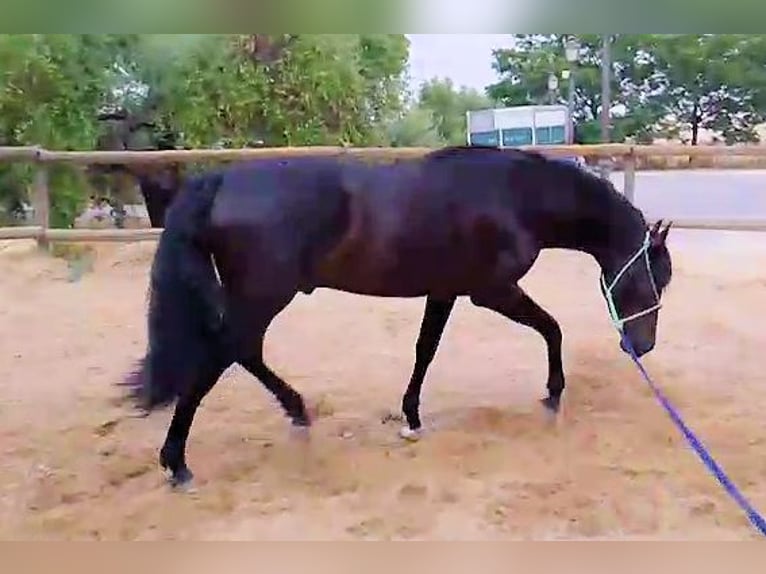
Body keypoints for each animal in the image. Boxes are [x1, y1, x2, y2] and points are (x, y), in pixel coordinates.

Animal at [121, 144, 674, 489]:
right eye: (652, 278)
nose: (641, 345)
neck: (515, 195)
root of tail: (220, 181)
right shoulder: (490, 292)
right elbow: (552, 328)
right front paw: (554, 393)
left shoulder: (446, 291)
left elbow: (425, 350)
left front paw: (411, 417)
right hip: (262, 296)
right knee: (222, 354)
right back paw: (177, 462)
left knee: (242, 352)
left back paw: (295, 411)